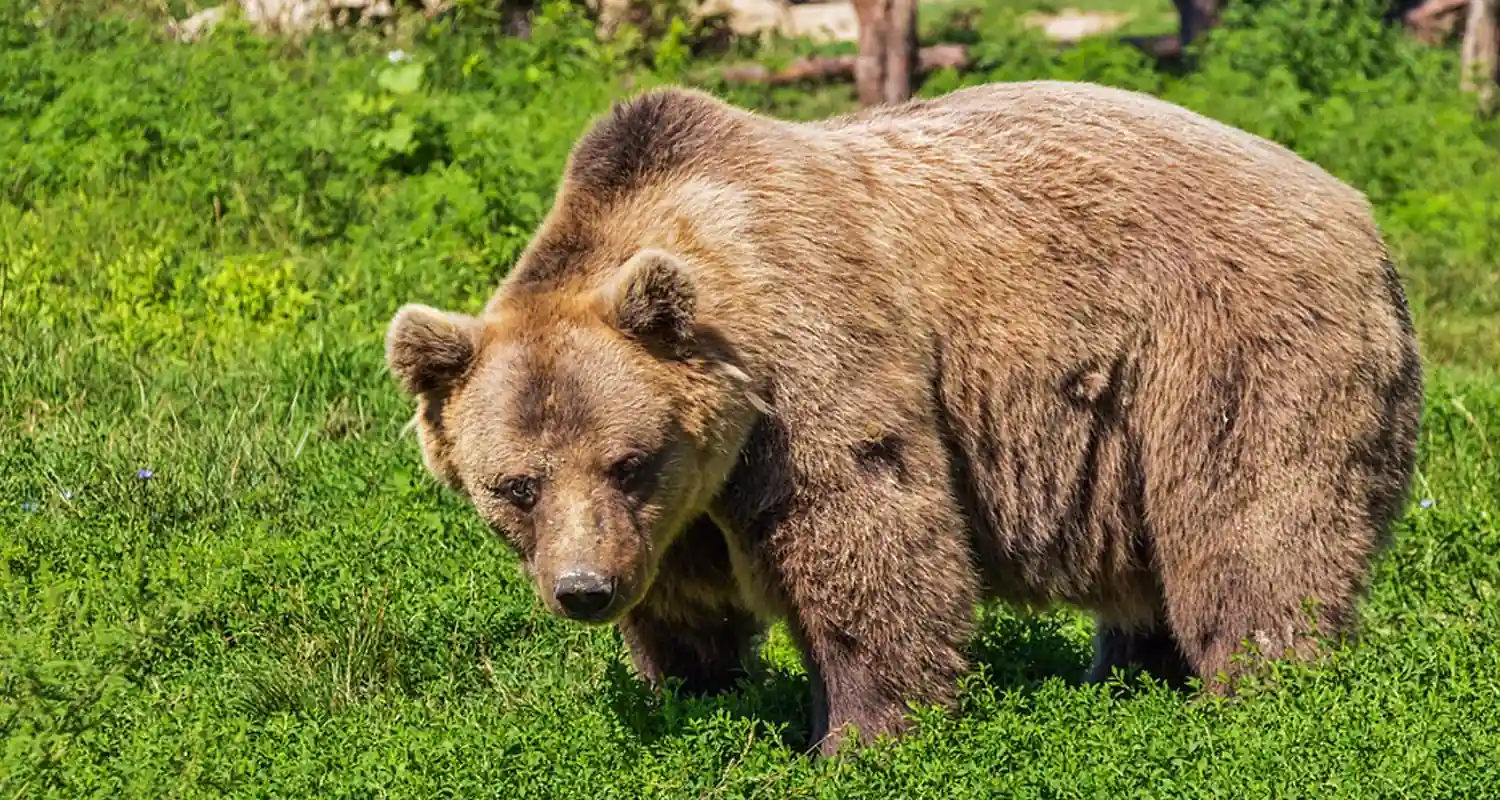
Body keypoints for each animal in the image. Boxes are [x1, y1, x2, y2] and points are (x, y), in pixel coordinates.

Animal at [381, 79, 1422, 753]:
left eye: (628, 461)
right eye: (515, 485)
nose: (584, 589)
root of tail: (1360, 213)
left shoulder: (808, 366)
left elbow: (866, 532)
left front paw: (857, 735)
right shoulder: (683, 506)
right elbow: (685, 601)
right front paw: (689, 693)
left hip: (1228, 347)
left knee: (1252, 525)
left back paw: (1261, 690)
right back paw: (1128, 676)